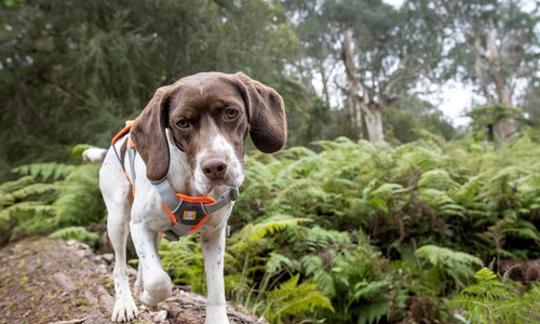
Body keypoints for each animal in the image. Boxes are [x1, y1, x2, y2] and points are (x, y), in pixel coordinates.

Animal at [84, 72, 286, 322]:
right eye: (182, 123)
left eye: (231, 112)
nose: (215, 168)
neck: (191, 187)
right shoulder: (139, 225)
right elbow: (159, 281)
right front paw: (149, 295)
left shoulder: (214, 233)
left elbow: (216, 287)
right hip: (118, 219)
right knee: (120, 265)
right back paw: (124, 303)